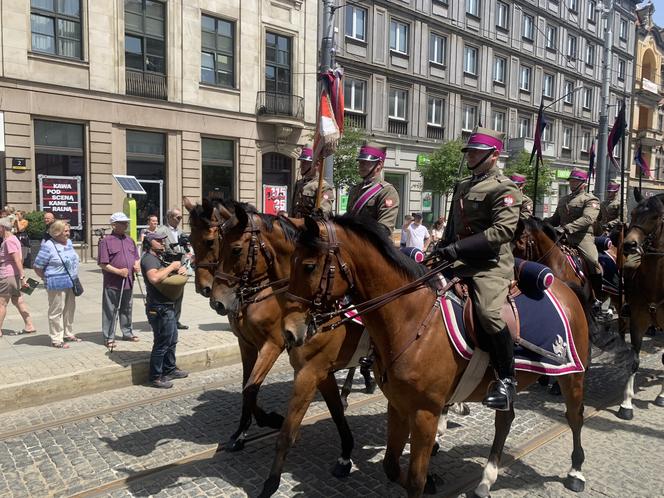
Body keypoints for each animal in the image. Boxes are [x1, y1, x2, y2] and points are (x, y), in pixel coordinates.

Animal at [208, 201, 376, 498]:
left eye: (236, 249)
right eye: (217, 243)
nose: (217, 301)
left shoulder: (285, 354)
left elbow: (257, 395)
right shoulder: (312, 368)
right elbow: (334, 411)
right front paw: (345, 454)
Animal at [280, 217, 588, 498]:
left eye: (309, 266)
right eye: (290, 261)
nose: (289, 331)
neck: (410, 317)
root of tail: (563, 286)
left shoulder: (424, 411)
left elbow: (414, 480)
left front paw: (426, 477)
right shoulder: (398, 404)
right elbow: (392, 466)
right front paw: (431, 479)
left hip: (572, 375)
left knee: (575, 416)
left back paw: (576, 471)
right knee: (505, 419)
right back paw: (485, 480)